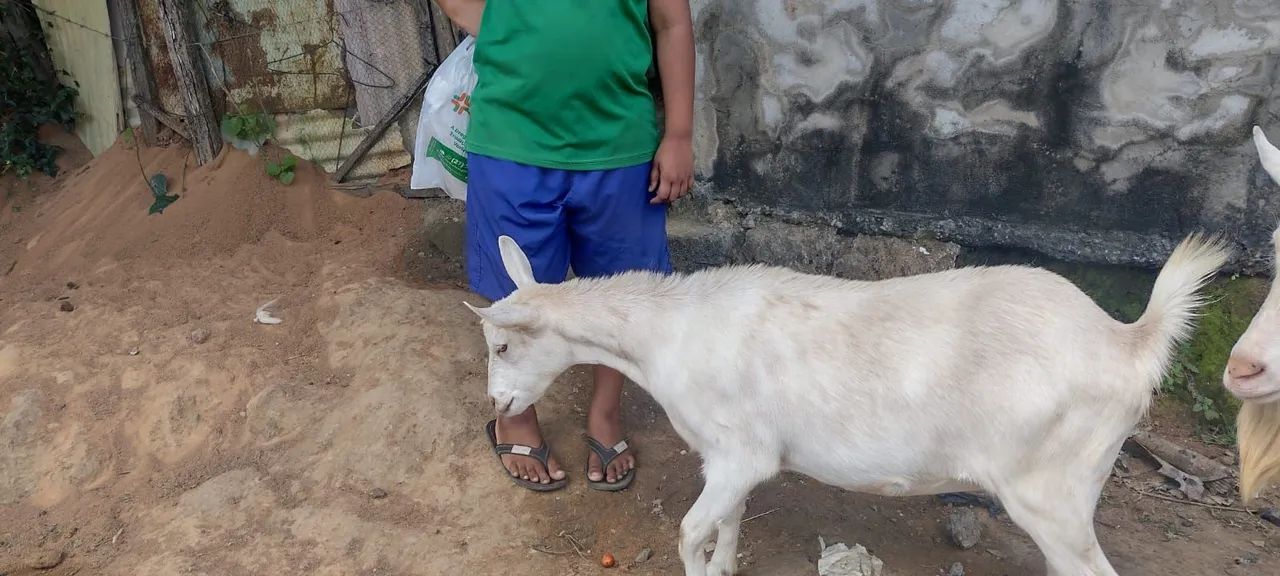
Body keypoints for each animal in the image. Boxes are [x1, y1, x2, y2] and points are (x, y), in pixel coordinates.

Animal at [467, 230, 1230, 576]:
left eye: (503, 345)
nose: (498, 404)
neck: (667, 336)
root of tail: (1128, 340)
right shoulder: (728, 462)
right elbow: (727, 527)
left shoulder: (742, 453)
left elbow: (688, 532)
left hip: (1051, 491)